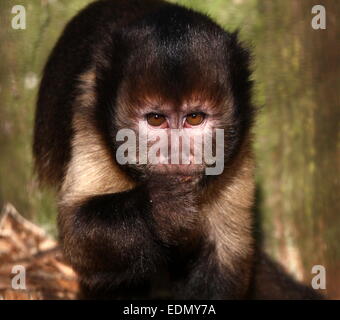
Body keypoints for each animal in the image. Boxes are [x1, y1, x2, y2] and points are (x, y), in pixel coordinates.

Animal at [32, 0, 322, 300]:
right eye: (155, 119)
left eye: (194, 118)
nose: (176, 153)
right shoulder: (89, 111)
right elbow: (76, 230)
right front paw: (160, 207)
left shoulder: (239, 151)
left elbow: (226, 261)